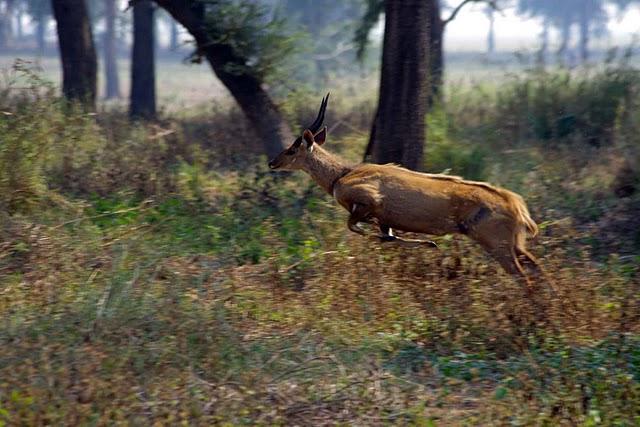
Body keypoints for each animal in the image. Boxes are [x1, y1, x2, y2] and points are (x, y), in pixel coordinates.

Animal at [268, 95, 544, 286]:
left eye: (292, 149)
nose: (272, 162)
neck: (342, 175)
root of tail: (516, 205)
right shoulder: (382, 219)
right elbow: (387, 236)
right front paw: (430, 245)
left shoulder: (369, 203)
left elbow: (359, 228)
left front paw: (430, 244)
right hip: (514, 246)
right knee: (539, 269)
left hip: (497, 245)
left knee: (525, 278)